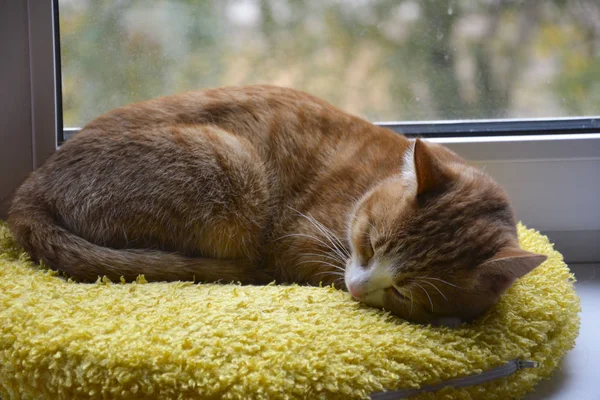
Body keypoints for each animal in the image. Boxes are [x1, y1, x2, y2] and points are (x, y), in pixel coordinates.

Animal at [7, 86, 548, 324]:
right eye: (370, 244)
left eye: (405, 291)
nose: (357, 289)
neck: (372, 179)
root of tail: (30, 191)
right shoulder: (302, 242)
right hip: (231, 166)